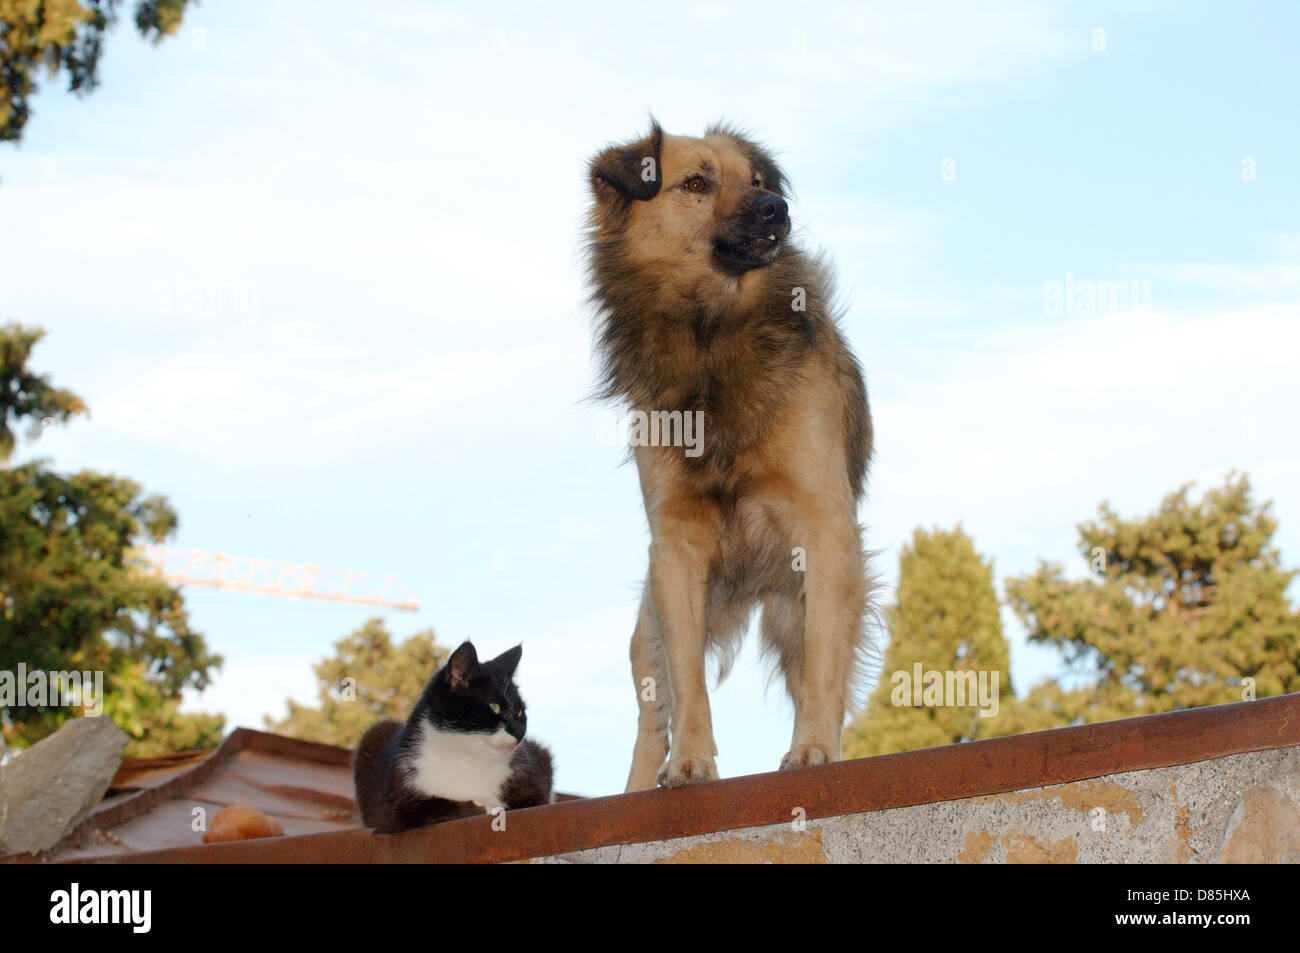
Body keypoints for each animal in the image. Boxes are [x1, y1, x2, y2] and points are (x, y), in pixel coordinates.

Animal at [353, 639, 551, 832]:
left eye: (520, 713)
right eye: (494, 707)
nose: (519, 732)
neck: (468, 758)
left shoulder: (531, 787)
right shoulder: (398, 806)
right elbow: (436, 806)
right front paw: (480, 807)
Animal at [587, 120, 873, 790]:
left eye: (760, 180)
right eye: (697, 183)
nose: (777, 208)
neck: (711, 330)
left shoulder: (824, 527)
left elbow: (825, 668)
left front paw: (813, 750)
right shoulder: (676, 547)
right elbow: (688, 679)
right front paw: (691, 761)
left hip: (795, 609)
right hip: (647, 626)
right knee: (650, 721)